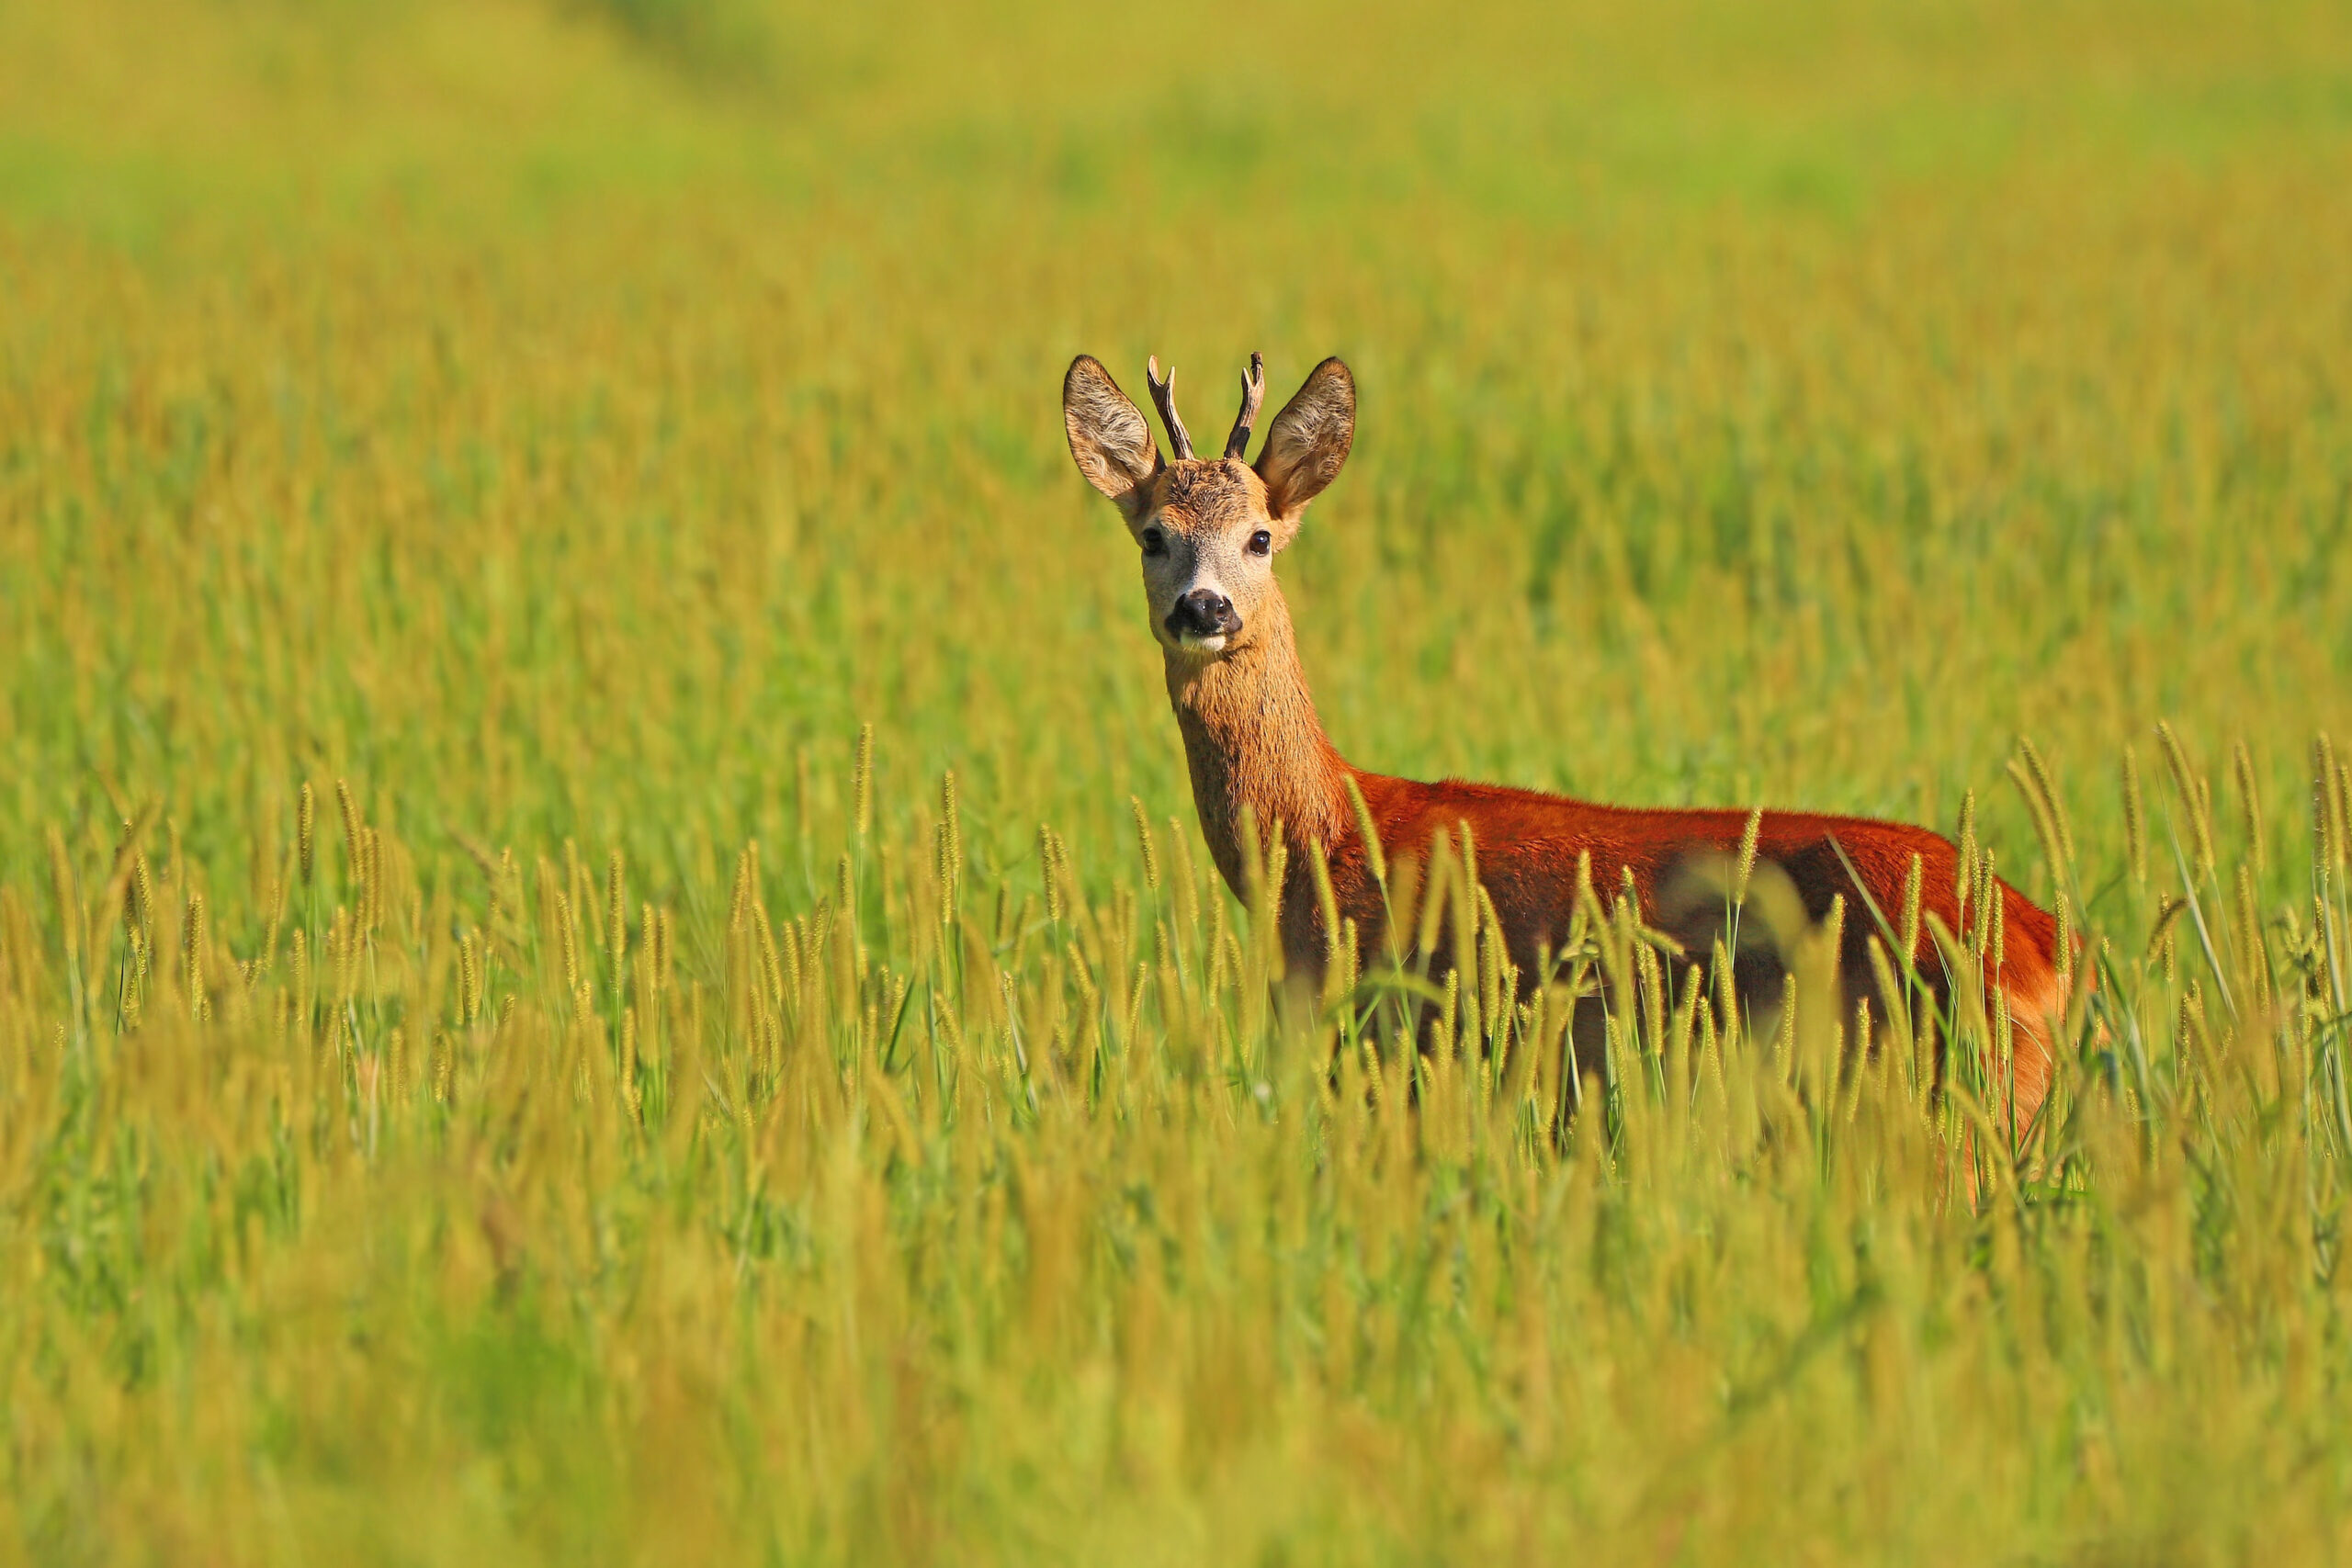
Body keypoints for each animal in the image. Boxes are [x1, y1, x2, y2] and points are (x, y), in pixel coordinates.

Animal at [1058, 350, 2069, 1128]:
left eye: (1261, 536)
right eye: (1153, 536)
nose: (1205, 608)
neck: (1325, 835)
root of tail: (2048, 947)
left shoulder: (1389, 1035)